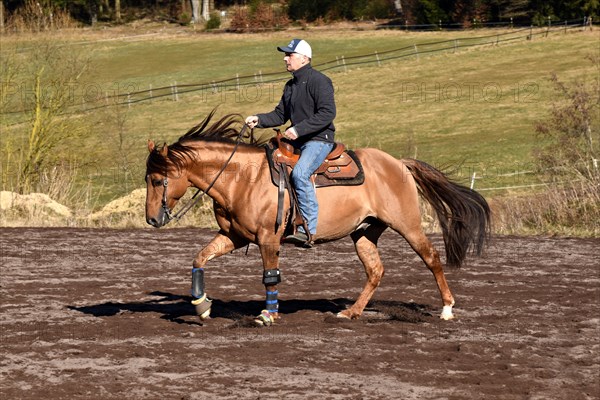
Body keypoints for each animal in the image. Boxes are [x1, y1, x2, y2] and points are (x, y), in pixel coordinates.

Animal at [146, 111, 492, 324]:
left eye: (158, 180)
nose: (151, 220)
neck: (243, 178)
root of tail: (399, 163)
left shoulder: (268, 238)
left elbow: (270, 276)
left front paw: (268, 315)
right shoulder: (235, 236)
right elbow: (200, 258)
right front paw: (202, 306)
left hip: (407, 225)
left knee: (431, 258)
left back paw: (447, 309)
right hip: (364, 232)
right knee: (375, 271)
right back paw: (351, 313)